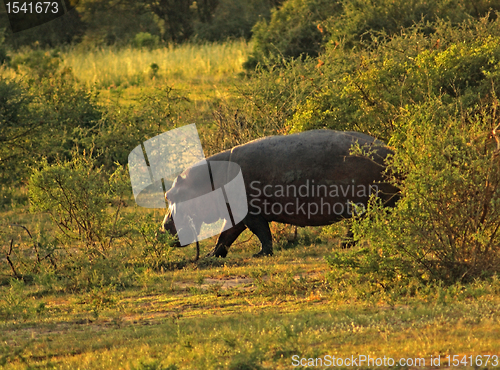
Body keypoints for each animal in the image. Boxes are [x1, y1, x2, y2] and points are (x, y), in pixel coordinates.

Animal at [160, 130, 398, 258]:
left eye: (170, 195)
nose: (163, 226)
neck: (206, 183)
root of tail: (393, 151)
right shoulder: (236, 214)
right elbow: (225, 235)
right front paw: (212, 256)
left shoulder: (251, 214)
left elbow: (262, 233)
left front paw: (260, 254)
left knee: (356, 225)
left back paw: (344, 244)